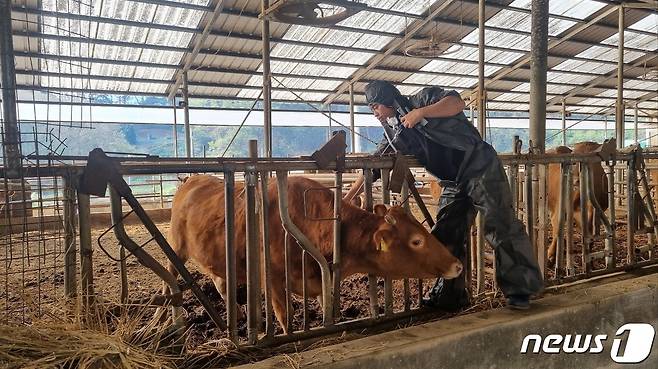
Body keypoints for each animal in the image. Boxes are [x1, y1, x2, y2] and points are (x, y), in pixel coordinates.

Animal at [167, 174, 458, 330]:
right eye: (417, 241)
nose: (457, 264)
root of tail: (192, 180)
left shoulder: (321, 276)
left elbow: (327, 304)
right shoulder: (273, 279)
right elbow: (286, 315)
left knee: (220, 282)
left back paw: (236, 314)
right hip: (176, 246)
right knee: (171, 281)